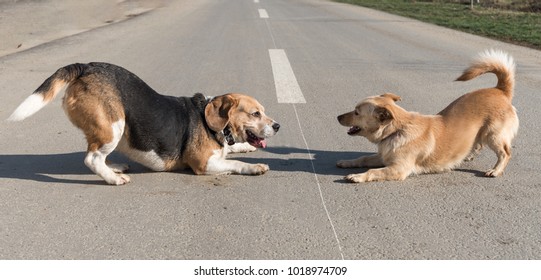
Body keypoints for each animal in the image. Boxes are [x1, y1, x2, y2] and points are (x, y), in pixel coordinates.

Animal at [8, 62, 280, 185]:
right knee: (92, 158)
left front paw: (246, 147)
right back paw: (113, 178)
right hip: (114, 126)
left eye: (264, 112)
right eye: (256, 114)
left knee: (96, 155)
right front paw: (256, 167)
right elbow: (235, 163)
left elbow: (234, 150)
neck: (210, 121)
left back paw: (115, 167)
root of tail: (85, 67)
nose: (277, 126)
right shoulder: (203, 164)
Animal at [336, 49, 516, 183]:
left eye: (356, 112)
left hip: (493, 135)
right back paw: (468, 156)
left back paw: (495, 170)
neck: (398, 130)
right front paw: (347, 162)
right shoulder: (383, 157)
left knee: (505, 153)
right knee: (478, 145)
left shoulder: (398, 168)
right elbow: (364, 158)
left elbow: (372, 171)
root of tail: (500, 91)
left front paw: (358, 176)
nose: (337, 117)